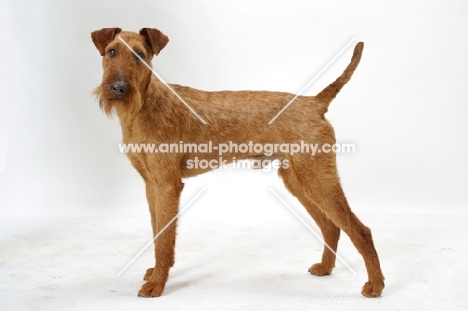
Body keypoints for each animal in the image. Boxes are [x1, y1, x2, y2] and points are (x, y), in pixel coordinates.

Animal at [90, 28, 384, 298]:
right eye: (111, 52)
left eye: (139, 55)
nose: (118, 88)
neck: (145, 106)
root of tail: (315, 102)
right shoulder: (151, 184)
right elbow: (156, 233)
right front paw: (155, 272)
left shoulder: (167, 186)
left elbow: (164, 240)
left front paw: (157, 284)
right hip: (298, 180)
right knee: (331, 226)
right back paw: (325, 268)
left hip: (317, 178)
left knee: (360, 230)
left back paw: (375, 285)